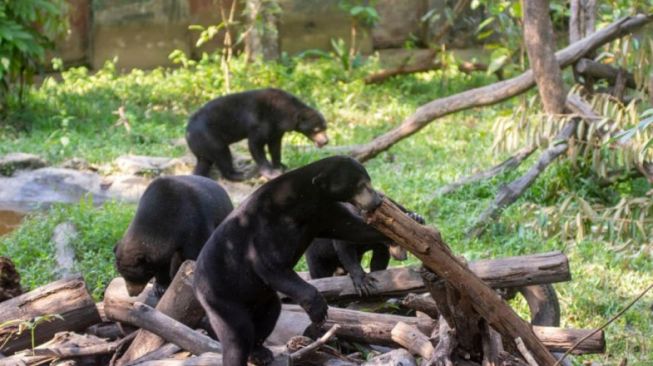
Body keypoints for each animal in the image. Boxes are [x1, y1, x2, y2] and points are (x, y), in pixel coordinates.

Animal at [185, 87, 328, 182]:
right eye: (316, 129)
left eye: (325, 127)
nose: (326, 141)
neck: (281, 114)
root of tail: (188, 133)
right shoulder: (260, 122)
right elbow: (256, 144)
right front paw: (272, 173)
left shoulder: (277, 129)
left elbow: (275, 146)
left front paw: (280, 165)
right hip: (209, 136)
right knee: (222, 153)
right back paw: (240, 174)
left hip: (203, 146)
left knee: (205, 161)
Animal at [191, 155, 390, 366]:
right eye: (360, 184)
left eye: (368, 181)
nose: (377, 200)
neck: (302, 201)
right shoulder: (266, 227)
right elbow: (270, 266)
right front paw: (319, 311)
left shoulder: (323, 212)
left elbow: (351, 228)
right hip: (220, 295)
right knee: (237, 333)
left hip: (259, 297)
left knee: (269, 313)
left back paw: (260, 352)